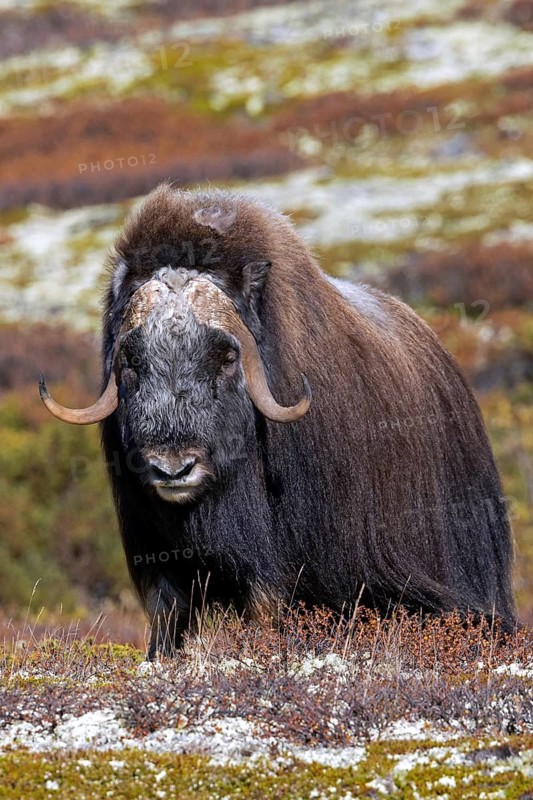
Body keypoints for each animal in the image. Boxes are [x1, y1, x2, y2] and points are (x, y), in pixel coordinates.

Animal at [40, 183, 517, 656]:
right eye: (131, 360)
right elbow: (169, 612)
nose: (172, 469)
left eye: (227, 356)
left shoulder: (279, 566)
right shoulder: (157, 557)